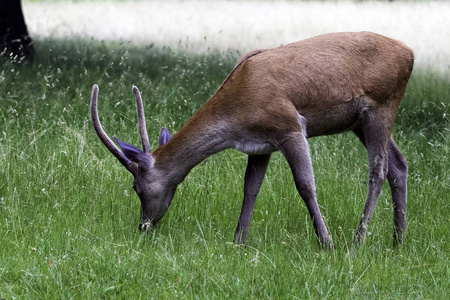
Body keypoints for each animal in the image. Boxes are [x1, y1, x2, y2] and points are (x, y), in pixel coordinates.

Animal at [89, 31, 414, 248]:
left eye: (136, 187)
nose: (143, 225)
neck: (238, 111)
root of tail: (410, 54)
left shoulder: (290, 126)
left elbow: (305, 185)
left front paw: (326, 243)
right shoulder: (260, 144)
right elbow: (250, 187)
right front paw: (238, 241)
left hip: (382, 106)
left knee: (379, 169)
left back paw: (358, 241)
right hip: (359, 122)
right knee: (399, 164)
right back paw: (398, 241)